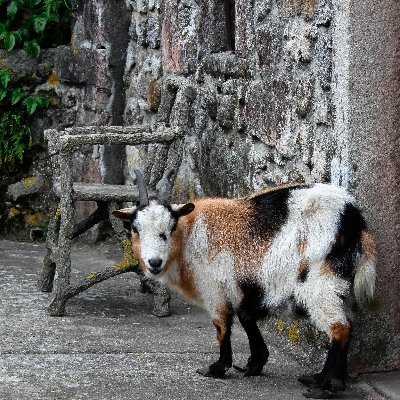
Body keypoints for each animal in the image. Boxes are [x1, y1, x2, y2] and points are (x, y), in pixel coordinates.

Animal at [113, 168, 378, 396]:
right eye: (135, 228)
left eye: (170, 227)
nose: (154, 262)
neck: (189, 236)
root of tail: (354, 221)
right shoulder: (242, 286)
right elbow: (246, 317)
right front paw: (254, 364)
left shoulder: (214, 288)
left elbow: (222, 326)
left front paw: (218, 368)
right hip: (338, 284)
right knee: (347, 325)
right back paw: (320, 378)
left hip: (320, 282)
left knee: (340, 329)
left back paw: (325, 387)